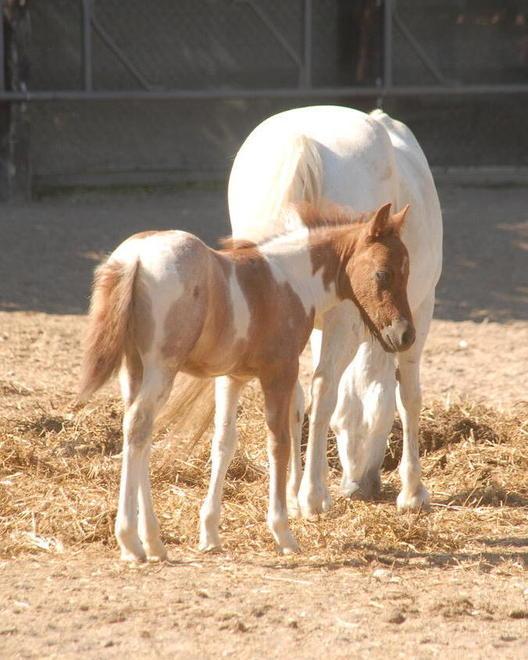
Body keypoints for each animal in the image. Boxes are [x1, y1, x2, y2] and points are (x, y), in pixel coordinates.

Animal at [79, 201, 414, 561]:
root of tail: (135, 256)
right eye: (383, 273)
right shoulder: (279, 373)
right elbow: (278, 443)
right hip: (161, 367)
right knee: (139, 425)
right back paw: (130, 540)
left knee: (138, 433)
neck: (291, 280)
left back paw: (152, 542)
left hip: (134, 369)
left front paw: (210, 533)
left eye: (408, 272)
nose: (405, 335)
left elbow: (224, 444)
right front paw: (283, 532)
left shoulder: (231, 377)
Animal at [227, 105, 443, 517]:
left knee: (295, 393)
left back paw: (294, 493)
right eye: (376, 424)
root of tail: (301, 143)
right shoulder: (421, 312)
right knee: (324, 387)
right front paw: (413, 492)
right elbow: (409, 395)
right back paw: (313, 496)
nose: (358, 488)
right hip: (348, 320)